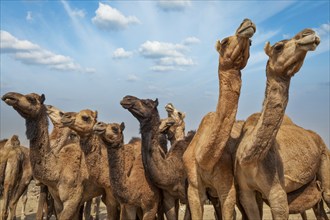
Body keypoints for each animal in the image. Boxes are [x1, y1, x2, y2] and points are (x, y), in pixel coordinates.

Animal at [182, 17, 256, 218]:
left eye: (251, 44)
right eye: (224, 42)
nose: (247, 23)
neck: (204, 158)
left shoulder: (227, 188)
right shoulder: (194, 188)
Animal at [235, 28, 328, 219]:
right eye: (278, 47)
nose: (309, 33)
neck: (248, 158)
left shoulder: (277, 192)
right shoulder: (245, 192)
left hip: (325, 156)